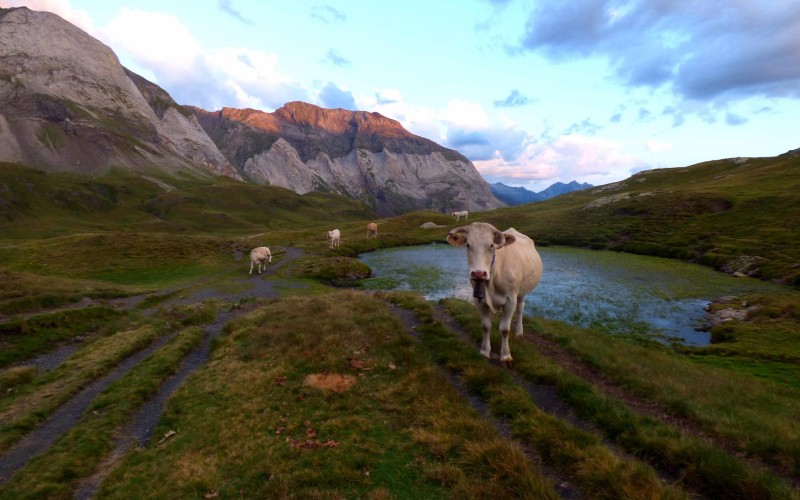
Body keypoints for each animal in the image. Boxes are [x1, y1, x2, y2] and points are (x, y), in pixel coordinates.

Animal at [444, 223, 544, 368]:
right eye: (468, 245)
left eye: (491, 245)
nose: (478, 274)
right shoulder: (478, 300)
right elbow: (486, 326)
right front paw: (485, 352)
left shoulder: (510, 300)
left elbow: (505, 329)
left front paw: (506, 356)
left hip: (521, 292)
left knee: (520, 309)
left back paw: (519, 332)